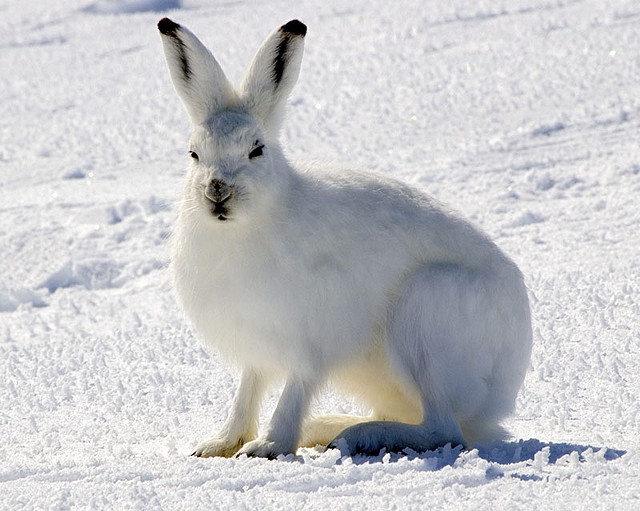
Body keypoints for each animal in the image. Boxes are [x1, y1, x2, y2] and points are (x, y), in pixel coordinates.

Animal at [158, 17, 533, 459]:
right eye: (194, 154)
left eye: (256, 150)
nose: (217, 192)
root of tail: (503, 391)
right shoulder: (257, 346)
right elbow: (248, 391)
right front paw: (219, 444)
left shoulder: (311, 340)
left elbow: (294, 391)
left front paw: (268, 445)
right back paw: (330, 427)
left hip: (426, 313)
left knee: (444, 429)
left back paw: (360, 436)